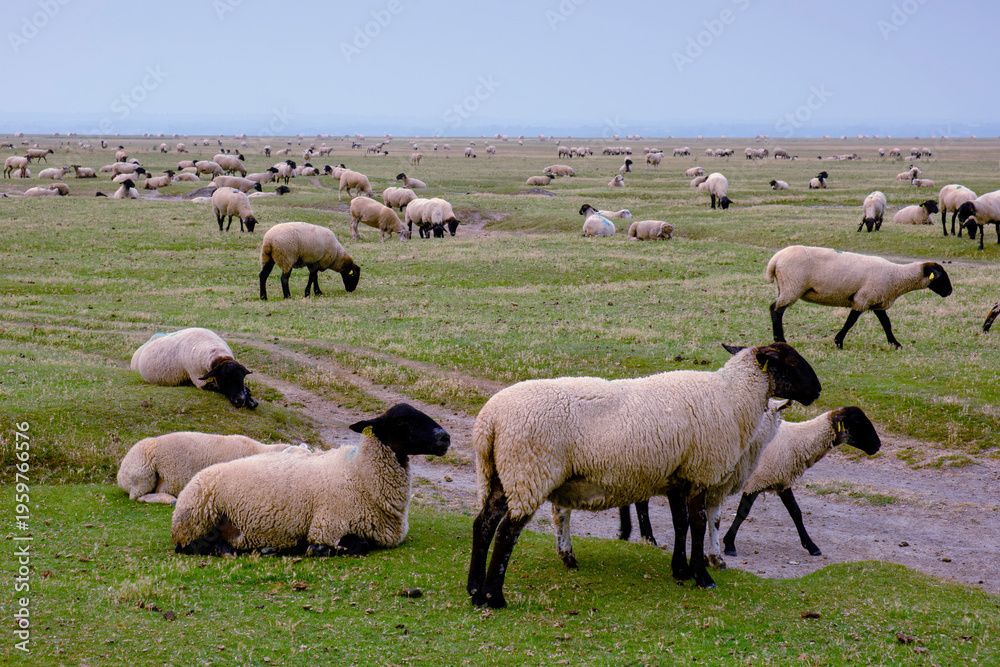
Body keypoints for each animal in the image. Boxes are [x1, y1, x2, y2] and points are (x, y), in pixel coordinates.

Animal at [171, 404, 450, 557]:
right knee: (192, 545)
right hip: (196, 519)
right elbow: (359, 545)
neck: (358, 474)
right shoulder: (327, 526)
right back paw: (233, 551)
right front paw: (316, 550)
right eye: (403, 421)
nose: (445, 437)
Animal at [466, 342, 822, 607]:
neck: (732, 397)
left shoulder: (678, 475)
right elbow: (698, 524)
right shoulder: (700, 472)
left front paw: (680, 570)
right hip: (529, 471)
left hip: (500, 475)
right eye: (792, 363)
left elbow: (680, 523)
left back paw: (474, 590)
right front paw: (702, 576)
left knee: (483, 524)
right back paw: (494, 597)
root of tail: (490, 421)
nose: (818, 391)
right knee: (506, 533)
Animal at [721, 407, 881, 560]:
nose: (878, 445)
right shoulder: (756, 481)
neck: (798, 440)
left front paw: (811, 546)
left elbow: (796, 513)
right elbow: (742, 513)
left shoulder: (782, 482)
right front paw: (729, 544)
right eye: (857, 423)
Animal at [766, 245, 952, 349]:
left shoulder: (877, 301)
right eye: (941, 276)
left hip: (785, 286)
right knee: (776, 310)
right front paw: (838, 342)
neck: (897, 276)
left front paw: (895, 344)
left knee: (775, 309)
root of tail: (775, 260)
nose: (949, 292)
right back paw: (781, 340)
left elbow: (887, 324)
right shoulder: (863, 298)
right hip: (792, 286)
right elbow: (850, 322)